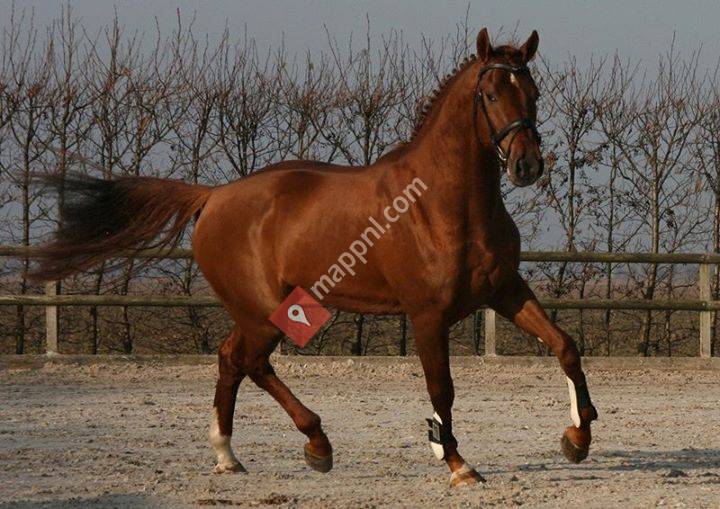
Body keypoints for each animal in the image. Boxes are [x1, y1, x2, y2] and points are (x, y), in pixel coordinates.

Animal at [32, 28, 598, 487]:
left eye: (533, 93)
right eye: (490, 94)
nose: (527, 165)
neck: (443, 202)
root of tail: (212, 197)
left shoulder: (505, 292)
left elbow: (566, 347)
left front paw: (578, 436)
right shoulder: (427, 314)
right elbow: (442, 389)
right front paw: (458, 463)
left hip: (260, 310)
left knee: (230, 359)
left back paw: (228, 456)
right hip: (264, 312)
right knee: (252, 362)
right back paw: (317, 444)